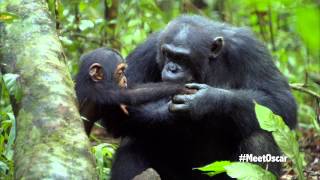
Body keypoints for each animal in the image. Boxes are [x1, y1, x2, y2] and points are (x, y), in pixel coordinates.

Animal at [110, 14, 298, 179]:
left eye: (182, 58)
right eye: (167, 54)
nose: (172, 68)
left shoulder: (249, 49)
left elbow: (280, 100)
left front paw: (206, 101)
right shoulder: (147, 49)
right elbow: (118, 103)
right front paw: (172, 115)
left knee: (258, 135)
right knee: (134, 137)